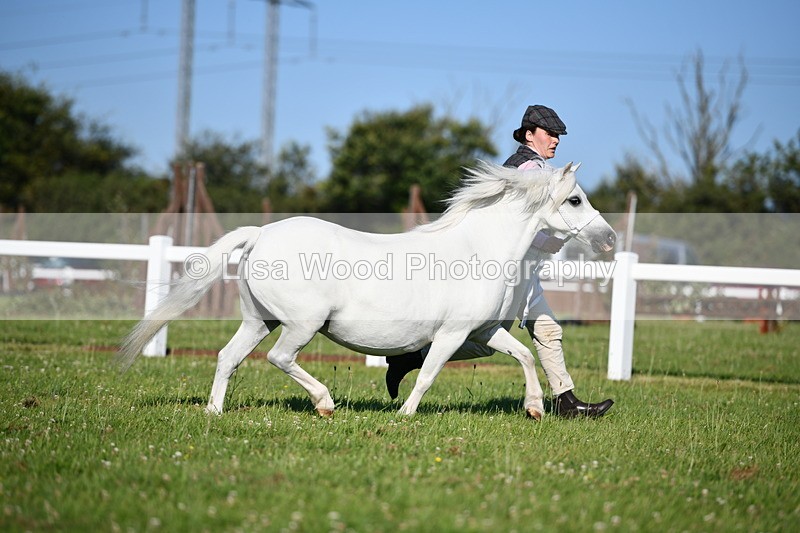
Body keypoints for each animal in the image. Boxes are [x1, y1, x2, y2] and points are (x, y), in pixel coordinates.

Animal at [117, 161, 616, 420]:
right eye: (575, 200)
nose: (610, 239)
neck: (478, 250)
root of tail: (261, 234)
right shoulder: (452, 334)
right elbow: (429, 372)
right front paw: (405, 415)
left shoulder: (482, 332)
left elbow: (526, 355)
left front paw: (534, 409)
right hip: (300, 324)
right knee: (280, 358)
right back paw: (325, 404)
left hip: (260, 319)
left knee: (228, 357)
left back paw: (214, 412)